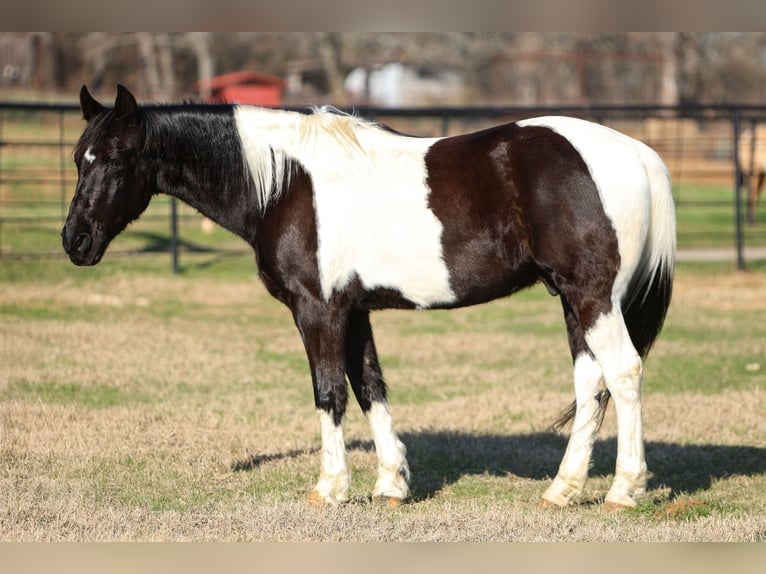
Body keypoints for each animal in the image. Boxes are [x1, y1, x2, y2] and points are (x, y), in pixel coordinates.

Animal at [66, 84, 680, 508]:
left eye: (115, 157)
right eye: (78, 158)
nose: (75, 241)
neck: (287, 182)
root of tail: (638, 152)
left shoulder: (317, 310)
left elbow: (329, 393)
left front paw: (331, 487)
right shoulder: (354, 310)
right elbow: (369, 387)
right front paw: (391, 485)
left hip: (593, 297)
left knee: (623, 373)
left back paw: (623, 490)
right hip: (573, 301)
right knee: (591, 384)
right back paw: (563, 489)